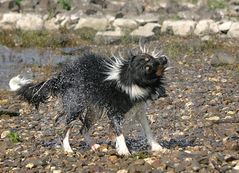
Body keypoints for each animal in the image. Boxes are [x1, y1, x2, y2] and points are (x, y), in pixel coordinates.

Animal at [9, 47, 169, 155]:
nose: (164, 59)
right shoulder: (114, 113)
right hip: (75, 106)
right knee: (66, 129)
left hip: (94, 111)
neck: (128, 78)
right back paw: (68, 149)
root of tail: (61, 77)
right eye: (148, 67)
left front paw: (156, 147)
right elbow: (120, 132)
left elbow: (148, 130)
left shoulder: (138, 110)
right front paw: (123, 150)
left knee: (83, 129)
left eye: (150, 58)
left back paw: (93, 146)